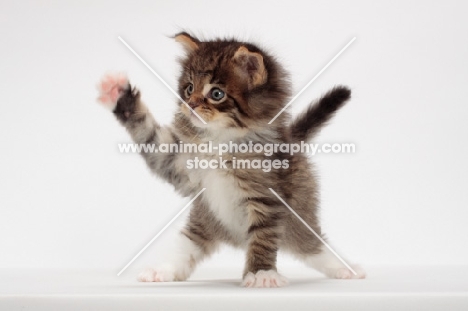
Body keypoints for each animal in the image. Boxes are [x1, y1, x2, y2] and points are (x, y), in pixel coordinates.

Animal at [96, 33, 366, 288]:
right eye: (189, 88)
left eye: (216, 94)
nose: (190, 105)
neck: (221, 140)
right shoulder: (177, 161)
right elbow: (150, 136)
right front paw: (118, 95)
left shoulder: (268, 198)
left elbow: (263, 237)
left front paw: (261, 274)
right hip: (203, 221)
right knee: (186, 248)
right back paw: (163, 270)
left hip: (298, 219)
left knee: (313, 246)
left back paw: (345, 268)